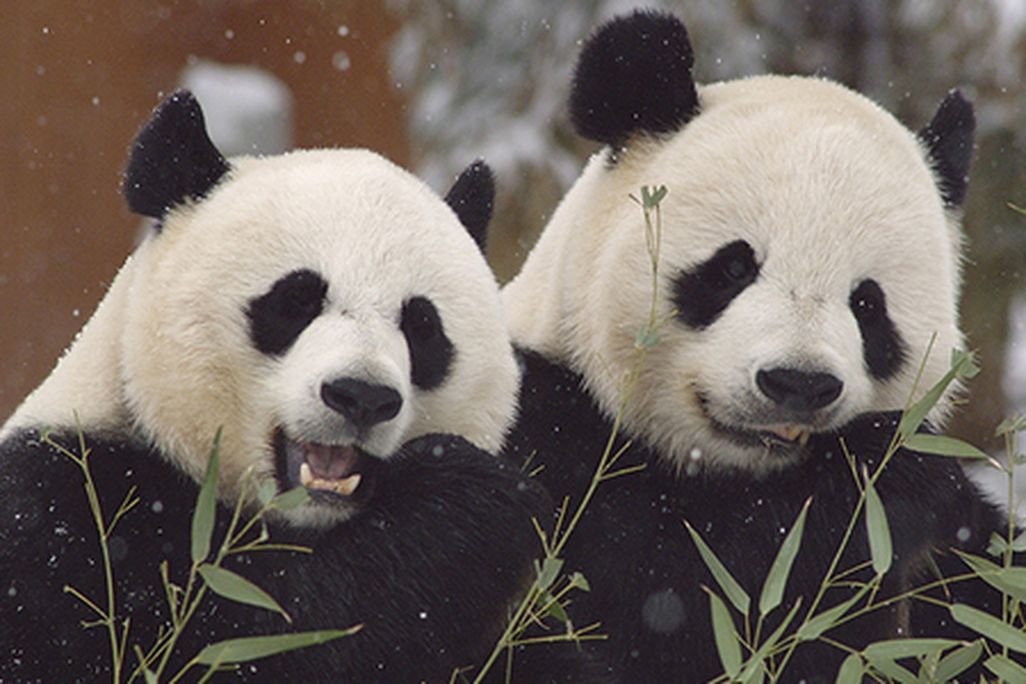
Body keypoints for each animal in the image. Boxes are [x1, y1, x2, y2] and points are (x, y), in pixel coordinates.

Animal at [0, 91, 599, 683]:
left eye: (422, 326)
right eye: (295, 301)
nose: (362, 396)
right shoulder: (70, 515)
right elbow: (267, 639)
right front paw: (469, 501)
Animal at [502, 11, 1016, 682]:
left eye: (868, 305)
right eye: (732, 269)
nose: (798, 383)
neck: (734, 475)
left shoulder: (969, 562)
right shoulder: (544, 436)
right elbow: (684, 600)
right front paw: (882, 477)